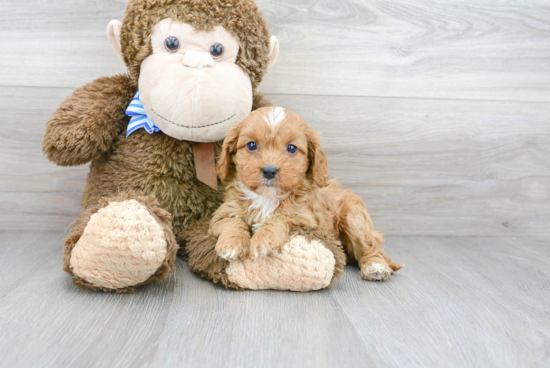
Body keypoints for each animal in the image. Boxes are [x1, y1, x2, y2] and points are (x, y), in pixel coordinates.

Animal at [209, 107, 404, 282]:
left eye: (291, 148)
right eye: (251, 145)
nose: (269, 171)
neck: (267, 197)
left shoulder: (308, 220)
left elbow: (280, 217)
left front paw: (263, 239)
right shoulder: (221, 215)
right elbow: (232, 221)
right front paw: (231, 244)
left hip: (354, 218)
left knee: (370, 247)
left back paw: (376, 267)